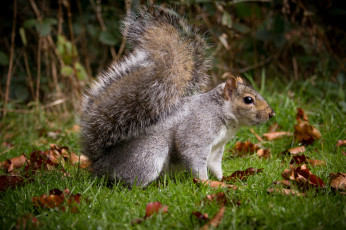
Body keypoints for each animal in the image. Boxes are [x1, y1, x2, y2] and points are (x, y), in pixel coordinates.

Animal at [79, 4, 274, 187]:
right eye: (248, 99)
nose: (271, 113)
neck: (220, 112)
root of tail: (101, 163)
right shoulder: (198, 129)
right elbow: (192, 153)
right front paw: (206, 184)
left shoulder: (217, 148)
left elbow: (215, 165)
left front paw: (223, 179)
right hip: (148, 155)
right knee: (127, 182)